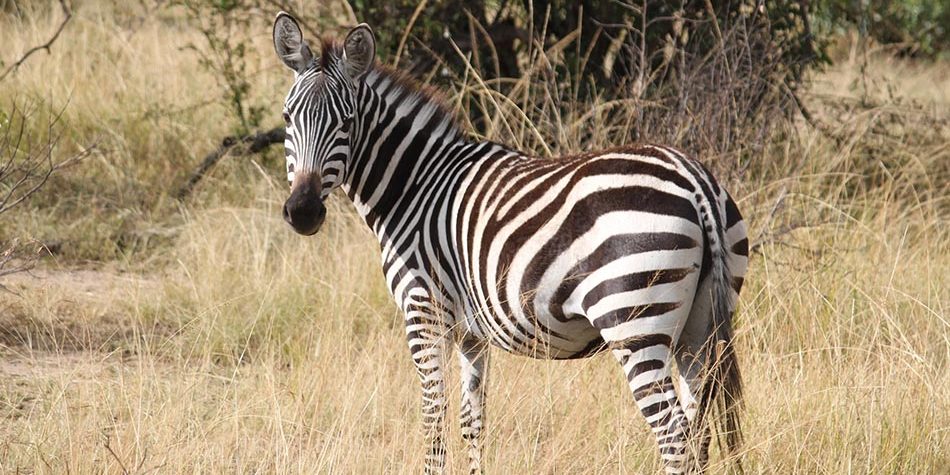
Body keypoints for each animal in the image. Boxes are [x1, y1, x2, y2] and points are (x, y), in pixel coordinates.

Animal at [272, 13, 748, 474]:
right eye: (287, 118)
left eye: (347, 123)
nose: (303, 212)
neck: (416, 186)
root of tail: (693, 179)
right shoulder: (470, 334)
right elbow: (471, 421)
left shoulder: (423, 314)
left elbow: (433, 418)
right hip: (699, 328)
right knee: (698, 430)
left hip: (633, 322)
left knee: (675, 439)